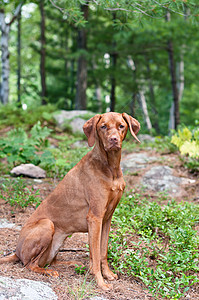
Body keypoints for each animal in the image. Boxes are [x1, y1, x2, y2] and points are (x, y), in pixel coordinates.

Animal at [0, 111, 140, 290]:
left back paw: (72, 264)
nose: (113, 139)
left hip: (58, 242)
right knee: (30, 264)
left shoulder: (107, 219)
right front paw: (101, 282)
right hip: (47, 225)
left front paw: (107, 274)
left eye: (121, 126)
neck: (110, 168)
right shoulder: (95, 218)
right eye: (103, 127)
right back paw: (49, 272)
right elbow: (95, 254)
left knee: (50, 261)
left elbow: (102, 252)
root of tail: (16, 251)